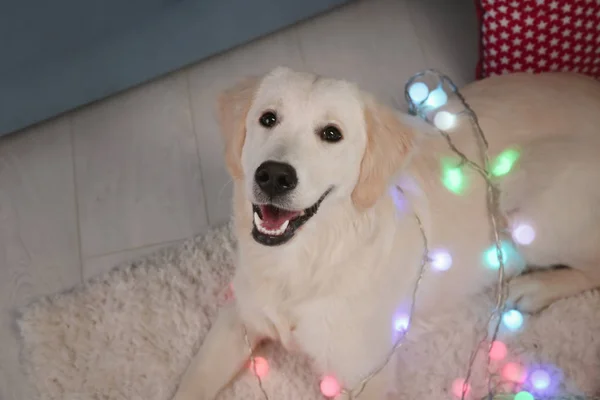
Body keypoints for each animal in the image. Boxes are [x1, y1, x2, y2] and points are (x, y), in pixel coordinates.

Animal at [171, 67, 600, 398]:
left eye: (331, 134)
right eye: (268, 118)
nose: (274, 176)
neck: (305, 261)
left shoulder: (364, 375)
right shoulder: (238, 316)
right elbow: (191, 384)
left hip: (527, 209)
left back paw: (535, 288)